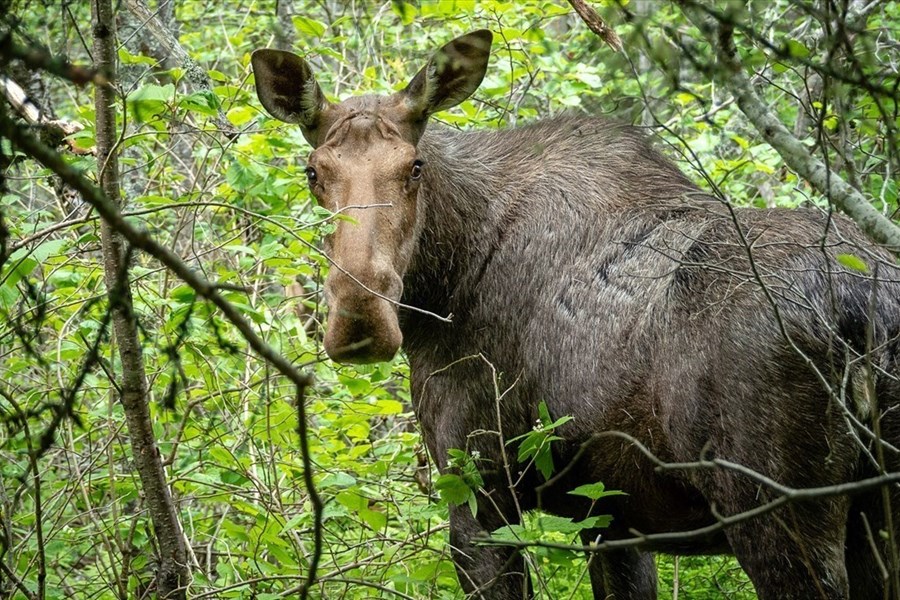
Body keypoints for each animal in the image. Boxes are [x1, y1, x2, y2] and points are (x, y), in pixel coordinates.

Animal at [250, 31, 900, 600]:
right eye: (313, 172)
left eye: (413, 166)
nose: (360, 318)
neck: (442, 289)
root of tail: (866, 312)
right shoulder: (613, 517)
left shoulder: (479, 491)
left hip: (776, 511)